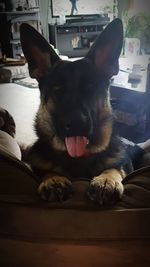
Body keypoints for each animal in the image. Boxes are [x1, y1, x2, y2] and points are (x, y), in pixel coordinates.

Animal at [19, 19, 143, 207]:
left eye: (90, 88)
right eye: (58, 90)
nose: (76, 123)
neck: (78, 157)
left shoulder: (124, 164)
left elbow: (115, 167)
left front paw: (106, 180)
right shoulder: (37, 166)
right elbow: (45, 170)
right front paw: (53, 179)